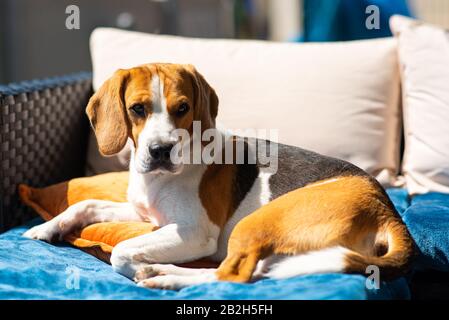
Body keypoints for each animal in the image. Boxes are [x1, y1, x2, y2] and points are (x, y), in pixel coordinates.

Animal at [23, 63, 412, 290]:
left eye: (183, 108)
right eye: (137, 109)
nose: (160, 150)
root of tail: (385, 210)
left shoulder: (194, 233)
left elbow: (120, 251)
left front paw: (138, 266)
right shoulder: (143, 213)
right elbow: (86, 204)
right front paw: (48, 227)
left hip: (255, 224)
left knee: (232, 275)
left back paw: (165, 276)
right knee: (250, 274)